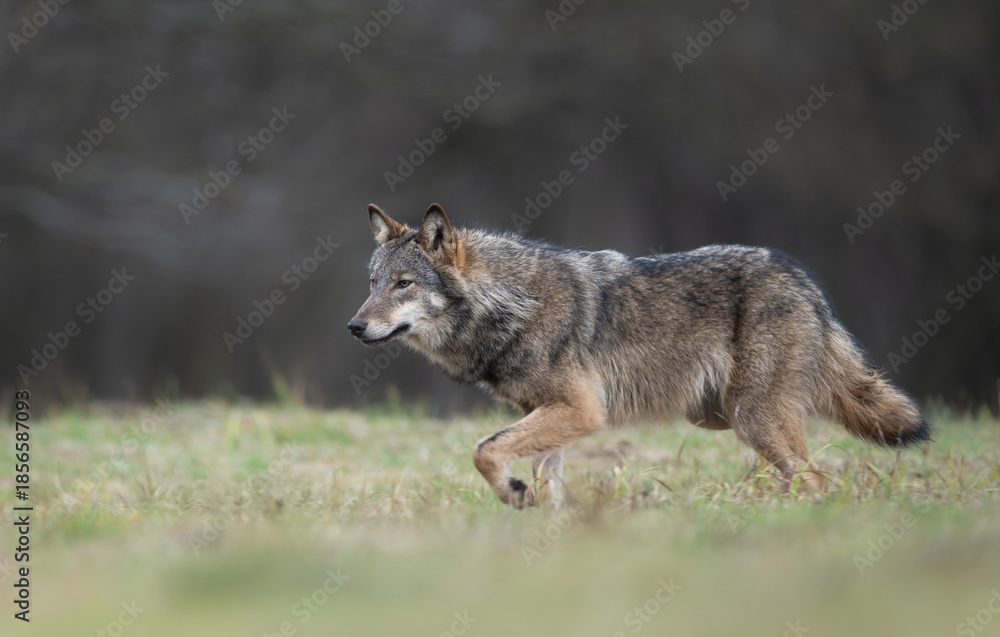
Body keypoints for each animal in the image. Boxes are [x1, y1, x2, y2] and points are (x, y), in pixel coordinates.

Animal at [349, 203, 930, 507]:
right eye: (373, 283)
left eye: (403, 284)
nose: (354, 326)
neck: (512, 303)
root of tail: (803, 279)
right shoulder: (549, 415)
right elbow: (547, 483)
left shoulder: (581, 411)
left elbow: (484, 450)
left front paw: (513, 494)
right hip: (723, 417)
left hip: (751, 418)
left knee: (816, 479)